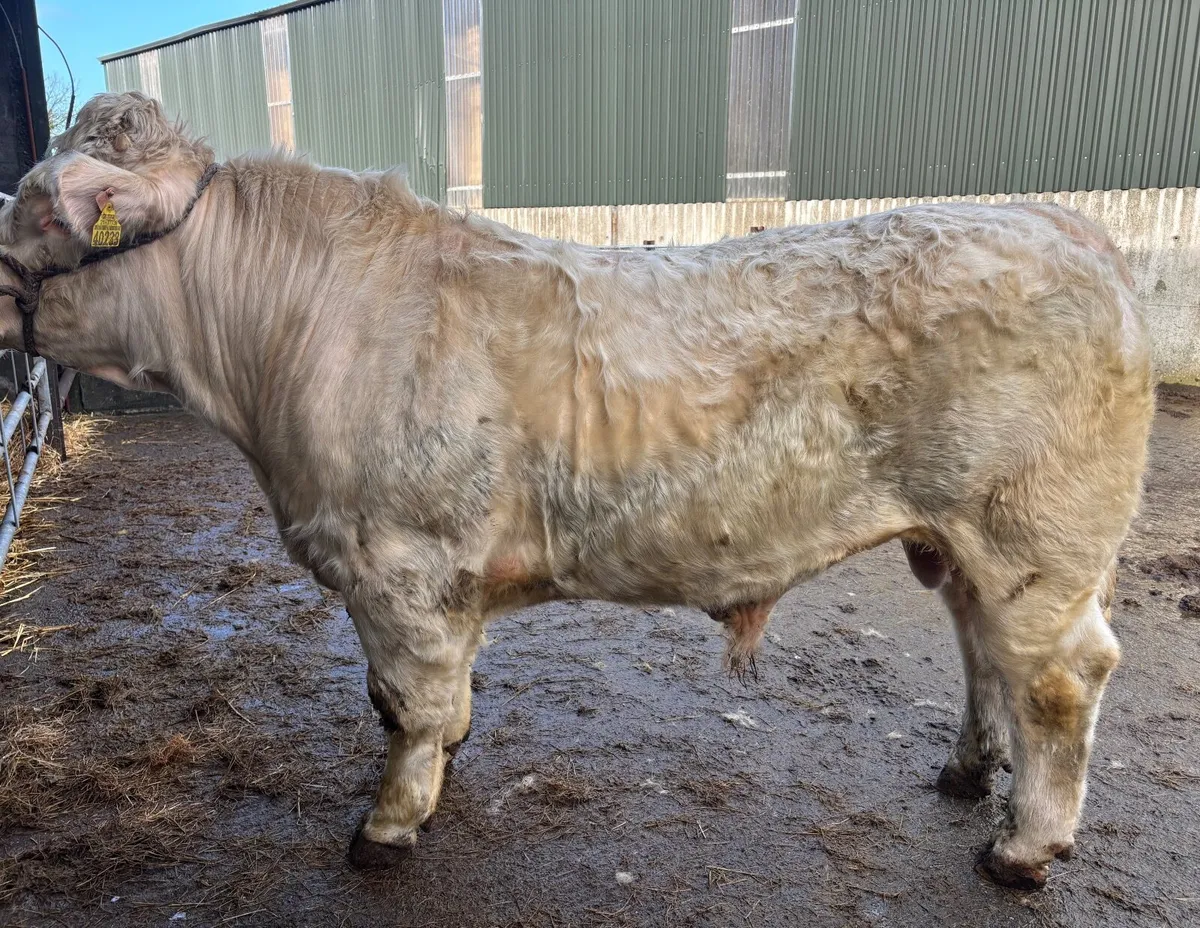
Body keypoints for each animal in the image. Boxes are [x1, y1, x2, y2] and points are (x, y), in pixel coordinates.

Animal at [0, 93, 1154, 890]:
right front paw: (448, 756)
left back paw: (1023, 845)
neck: (282, 340)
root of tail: (1067, 227)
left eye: (33, 208)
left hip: (1035, 532)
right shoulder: (436, 578)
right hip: (964, 536)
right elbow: (431, 695)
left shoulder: (399, 561)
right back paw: (970, 770)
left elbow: (404, 701)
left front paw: (390, 822)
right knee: (982, 650)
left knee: (1059, 677)